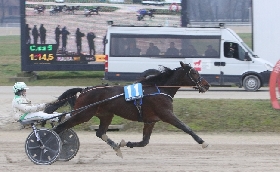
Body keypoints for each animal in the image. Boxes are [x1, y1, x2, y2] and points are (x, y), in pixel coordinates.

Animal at [44, 61, 210, 158]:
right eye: (194, 73)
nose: (207, 85)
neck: (160, 88)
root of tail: (85, 90)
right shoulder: (166, 114)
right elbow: (185, 127)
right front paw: (203, 142)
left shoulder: (150, 121)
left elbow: (144, 141)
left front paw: (126, 143)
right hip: (83, 114)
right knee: (59, 128)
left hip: (106, 114)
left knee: (100, 132)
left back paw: (117, 147)